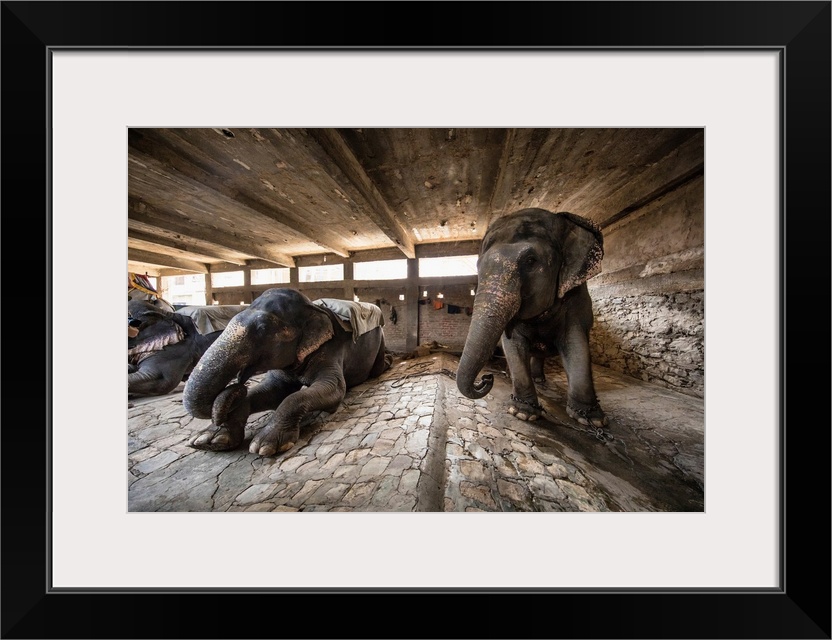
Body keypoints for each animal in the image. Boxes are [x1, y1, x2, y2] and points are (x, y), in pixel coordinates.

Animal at [184, 288, 392, 458]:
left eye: (263, 329)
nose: (239, 384)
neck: (314, 309)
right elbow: (275, 391)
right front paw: (208, 441)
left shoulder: (332, 347)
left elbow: (333, 389)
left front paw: (264, 446)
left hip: (381, 337)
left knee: (378, 368)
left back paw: (388, 363)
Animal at [458, 210, 608, 428]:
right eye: (478, 266)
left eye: (531, 261)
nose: (486, 378)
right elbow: (513, 344)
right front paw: (523, 413)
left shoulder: (576, 299)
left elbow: (575, 343)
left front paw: (592, 420)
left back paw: (538, 381)